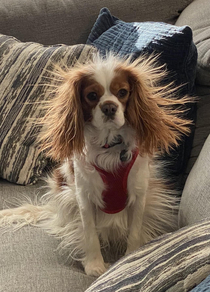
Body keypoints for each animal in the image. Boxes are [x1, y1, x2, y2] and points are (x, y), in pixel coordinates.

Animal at [0, 53, 192, 276]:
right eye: (92, 95)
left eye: (123, 92)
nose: (109, 107)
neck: (109, 147)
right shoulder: (84, 198)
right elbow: (90, 234)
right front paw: (95, 265)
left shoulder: (139, 195)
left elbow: (134, 231)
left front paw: (131, 256)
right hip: (67, 198)